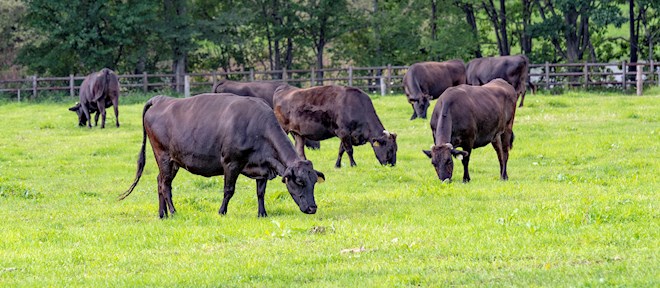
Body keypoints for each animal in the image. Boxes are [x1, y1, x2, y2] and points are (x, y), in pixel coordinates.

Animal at [120, 93, 326, 217]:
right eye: (299, 182)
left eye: (314, 182)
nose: (312, 208)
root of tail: (161, 99)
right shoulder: (231, 162)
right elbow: (229, 190)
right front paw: (221, 212)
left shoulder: (263, 167)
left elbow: (260, 192)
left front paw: (262, 213)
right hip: (163, 155)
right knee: (165, 185)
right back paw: (173, 211)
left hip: (172, 161)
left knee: (159, 181)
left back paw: (162, 214)